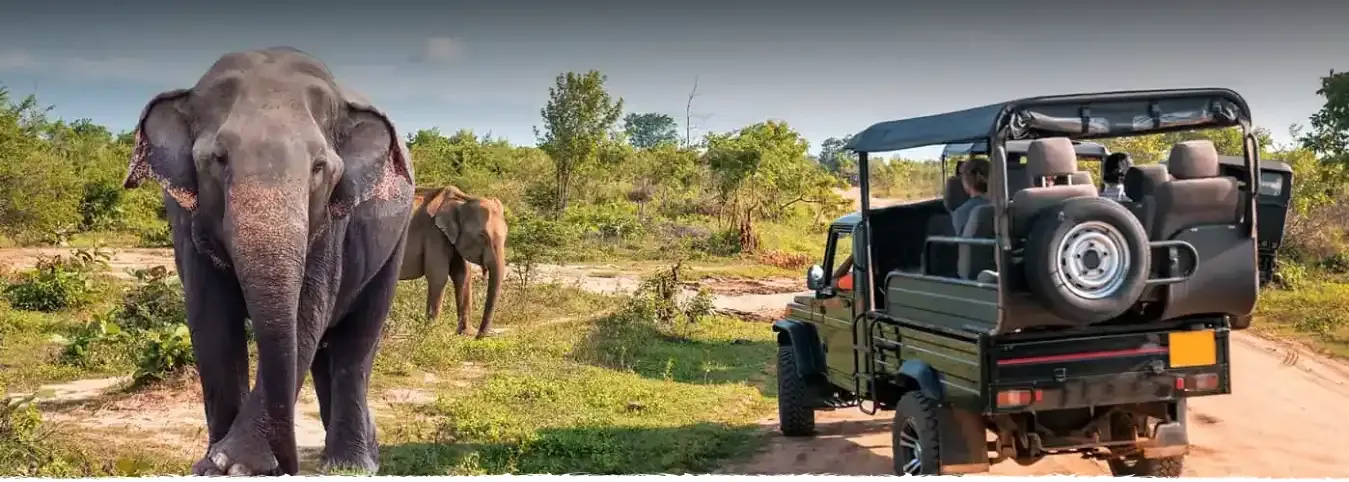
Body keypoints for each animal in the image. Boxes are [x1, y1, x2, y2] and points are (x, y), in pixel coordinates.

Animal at [121, 47, 415, 476]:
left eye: (319, 167)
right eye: (219, 158)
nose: (287, 463)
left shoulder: (333, 222)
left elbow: (306, 314)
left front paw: (234, 464)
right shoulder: (183, 217)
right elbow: (211, 320)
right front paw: (211, 466)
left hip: (397, 241)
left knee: (356, 344)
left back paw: (351, 466)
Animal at [399, 185, 507, 338]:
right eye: (482, 236)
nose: (479, 336)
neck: (463, 200)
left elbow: (463, 275)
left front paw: (466, 333)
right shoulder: (435, 234)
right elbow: (438, 277)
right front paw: (430, 333)